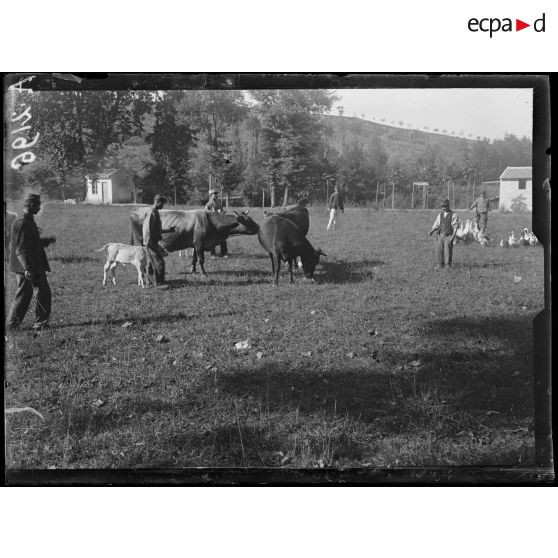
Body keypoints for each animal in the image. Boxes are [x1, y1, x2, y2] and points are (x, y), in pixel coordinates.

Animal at [132, 207, 260, 276]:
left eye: (251, 218)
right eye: (247, 221)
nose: (259, 227)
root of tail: (136, 211)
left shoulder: (195, 245)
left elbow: (194, 259)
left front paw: (193, 271)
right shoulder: (199, 244)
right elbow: (201, 259)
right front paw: (204, 273)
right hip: (142, 242)